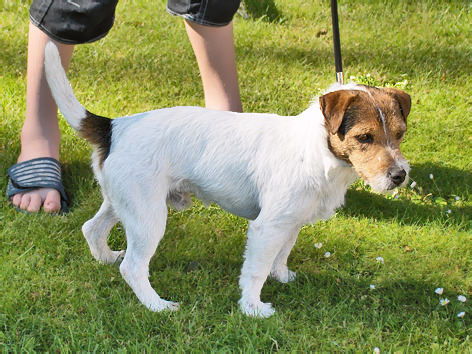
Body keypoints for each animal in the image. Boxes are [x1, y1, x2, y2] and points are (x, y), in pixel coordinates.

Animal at [45, 42, 412, 318]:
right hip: (148, 216)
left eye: (399, 134)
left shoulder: (290, 222)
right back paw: (157, 305)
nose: (399, 176)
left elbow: (282, 254)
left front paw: (283, 277)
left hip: (124, 202)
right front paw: (253, 308)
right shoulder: (267, 227)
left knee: (92, 228)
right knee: (133, 267)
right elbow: (256, 269)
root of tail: (113, 126)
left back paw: (107, 258)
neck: (316, 150)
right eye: (364, 137)